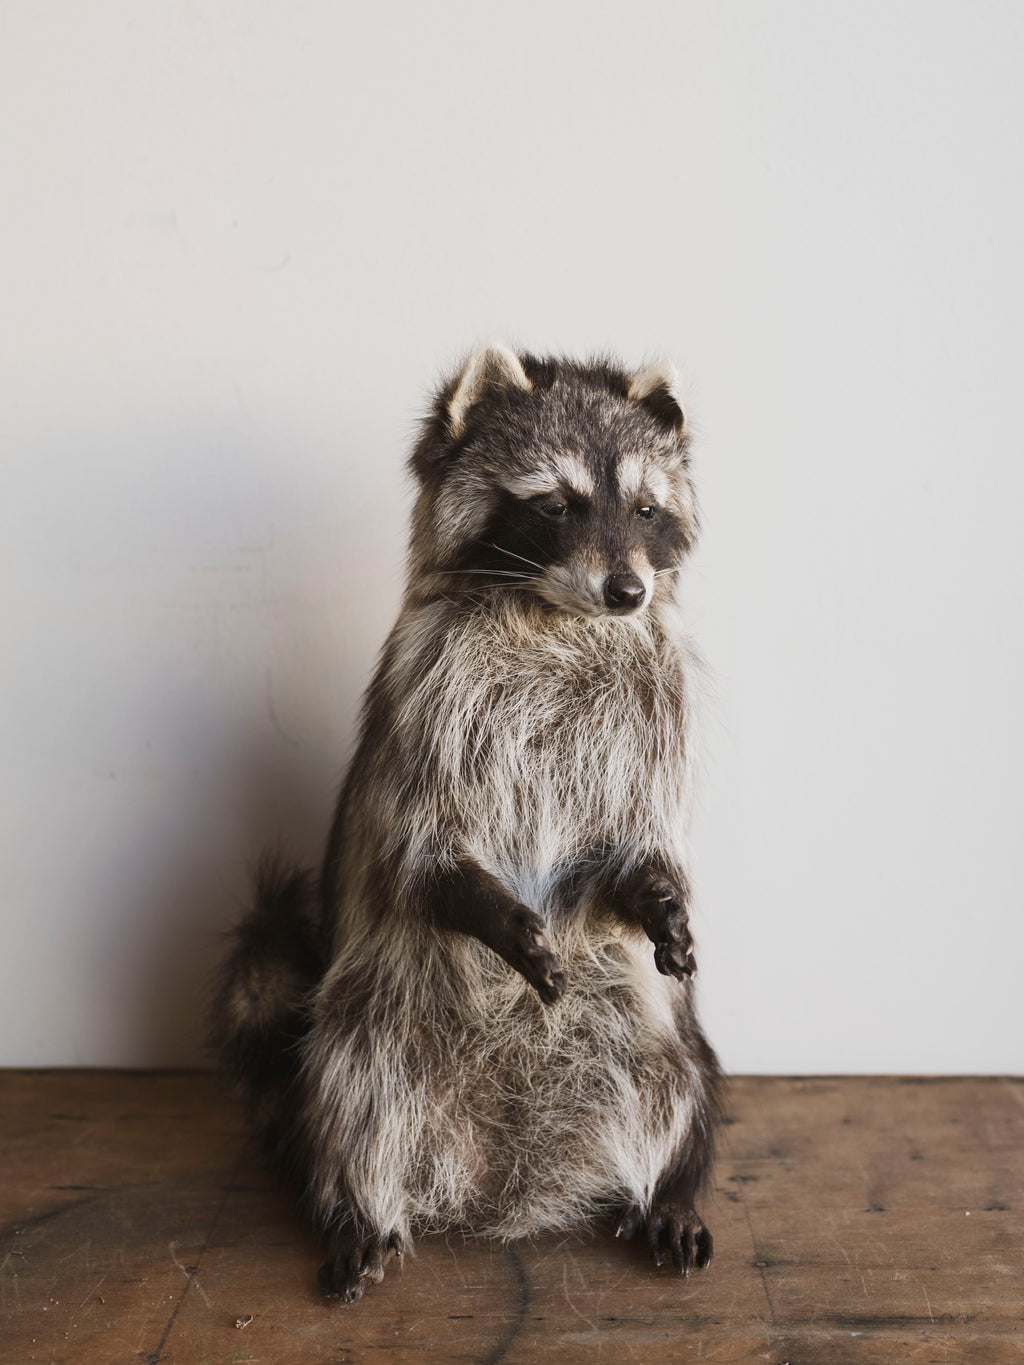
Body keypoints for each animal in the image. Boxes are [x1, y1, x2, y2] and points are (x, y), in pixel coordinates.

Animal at [209, 345, 722, 1302]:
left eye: (645, 508)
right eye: (556, 503)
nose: (627, 590)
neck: (557, 614)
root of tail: (502, 1185)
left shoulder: (649, 716)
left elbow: (629, 844)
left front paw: (658, 894)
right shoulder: (428, 710)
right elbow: (419, 859)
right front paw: (492, 912)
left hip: (650, 1032)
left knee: (681, 1078)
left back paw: (671, 1186)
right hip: (368, 1033)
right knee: (350, 1093)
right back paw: (356, 1208)